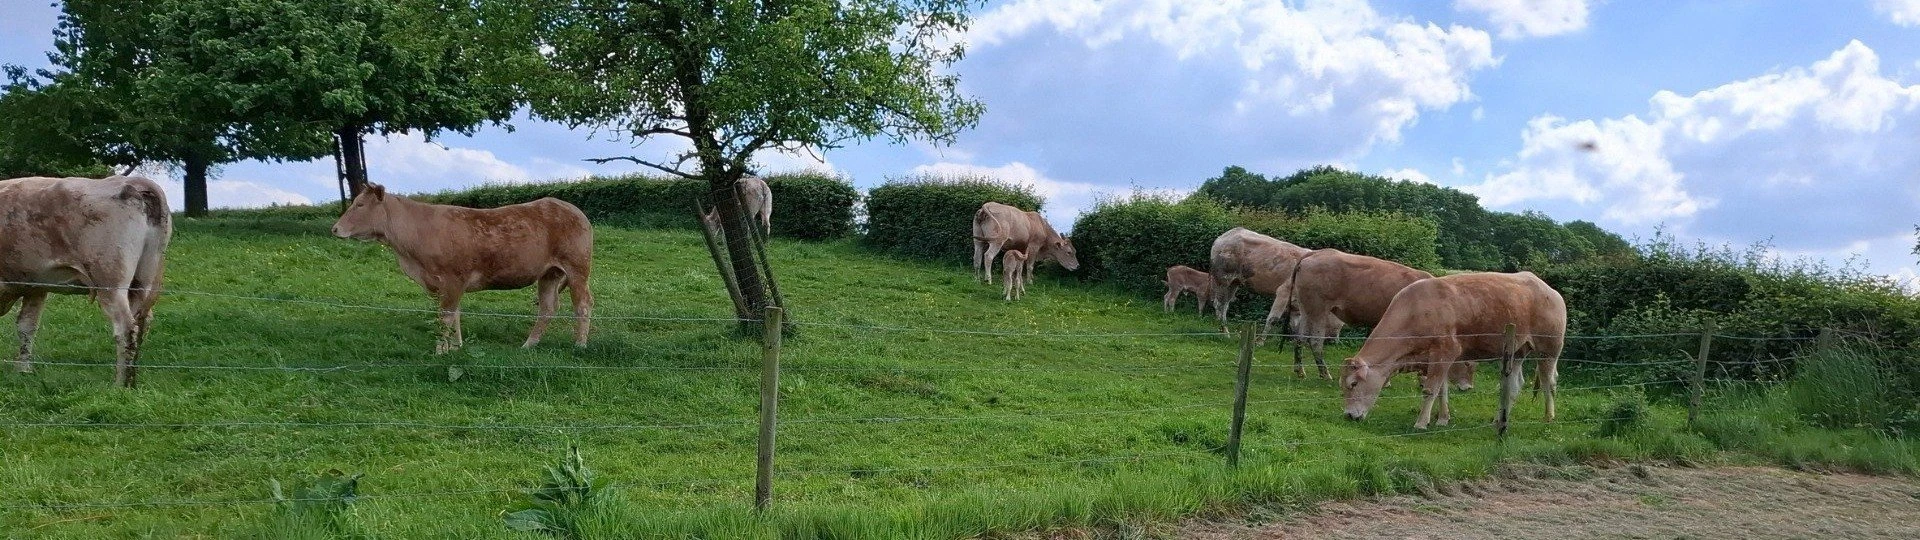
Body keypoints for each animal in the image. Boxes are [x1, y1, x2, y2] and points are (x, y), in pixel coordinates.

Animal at [0, 175, 170, 388]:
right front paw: (23, 371)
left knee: (125, 327)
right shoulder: (35, 286)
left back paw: (119, 385)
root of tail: (132, 182)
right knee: (141, 323)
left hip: (110, 280)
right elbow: (27, 326)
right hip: (145, 281)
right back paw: (131, 381)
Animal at [331, 184, 594, 353]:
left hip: (577, 267)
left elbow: (446, 316)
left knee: (582, 304)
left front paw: (441, 350)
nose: (335, 229)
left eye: (359, 204)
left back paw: (580, 345)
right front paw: (456, 347)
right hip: (549, 273)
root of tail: (571, 208)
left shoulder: (452, 278)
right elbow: (454, 315)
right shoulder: (444, 283)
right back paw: (528, 345)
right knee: (548, 308)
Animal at [1340, 271, 1566, 430]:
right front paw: (1442, 419)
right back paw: (1498, 419)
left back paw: (1549, 417)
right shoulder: (1437, 360)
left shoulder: (1445, 351)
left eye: (1353, 384)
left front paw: (1421, 423)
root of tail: (1549, 289)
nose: (1349, 416)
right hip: (1517, 351)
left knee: (1549, 381)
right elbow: (1442, 390)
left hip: (1549, 349)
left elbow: (1430, 390)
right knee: (1514, 384)